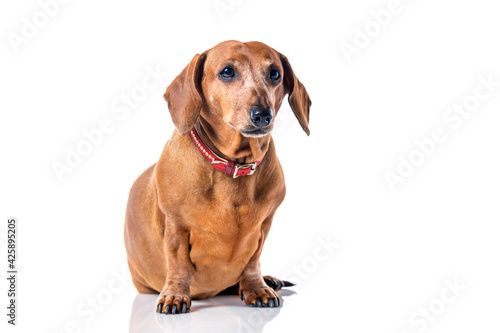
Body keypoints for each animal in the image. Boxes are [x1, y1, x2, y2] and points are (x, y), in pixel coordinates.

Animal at [123, 39, 310, 314]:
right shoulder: (176, 227)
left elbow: (252, 261)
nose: (262, 115)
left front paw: (256, 287)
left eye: (275, 73)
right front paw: (175, 295)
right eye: (227, 72)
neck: (233, 166)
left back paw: (268, 281)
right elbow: (178, 263)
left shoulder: (264, 226)